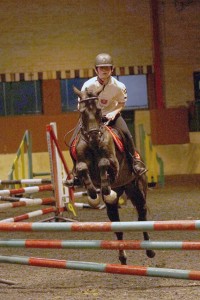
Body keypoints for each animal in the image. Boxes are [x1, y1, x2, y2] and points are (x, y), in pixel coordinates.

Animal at [68, 86, 155, 264]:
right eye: (82, 111)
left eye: (99, 110)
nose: (94, 135)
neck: (93, 144)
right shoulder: (81, 165)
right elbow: (83, 169)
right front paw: (93, 193)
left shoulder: (114, 163)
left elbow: (103, 163)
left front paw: (104, 189)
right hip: (115, 203)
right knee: (117, 226)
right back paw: (122, 257)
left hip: (137, 191)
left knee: (142, 217)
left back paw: (149, 250)